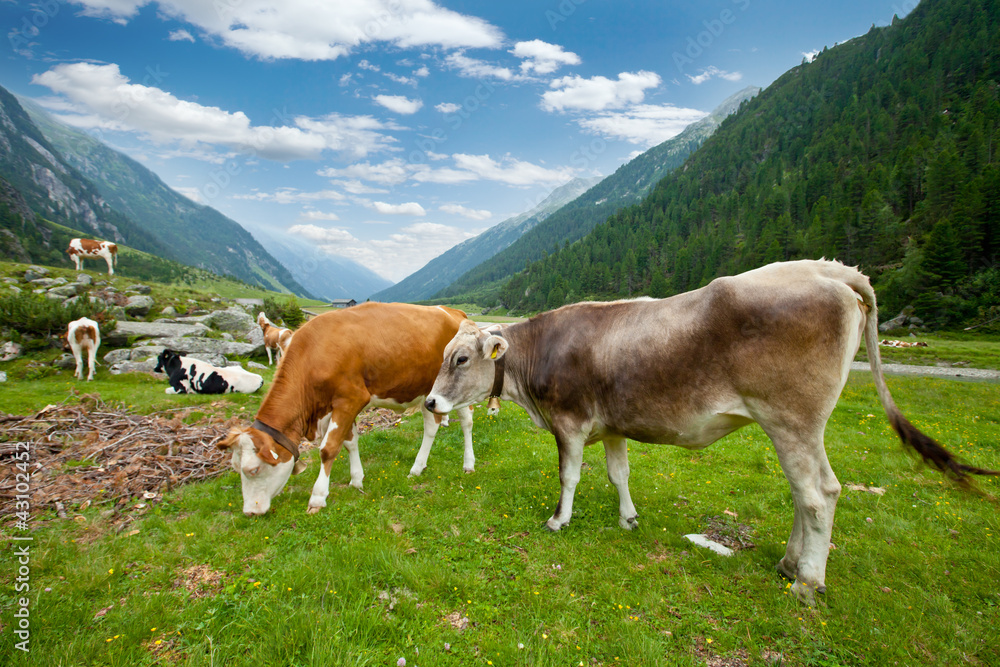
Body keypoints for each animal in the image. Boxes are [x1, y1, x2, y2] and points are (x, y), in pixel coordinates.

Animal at [216, 302, 480, 516]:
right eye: (235, 468)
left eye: (253, 470)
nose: (249, 512)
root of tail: (454, 312)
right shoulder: (341, 406)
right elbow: (350, 442)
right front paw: (356, 480)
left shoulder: (350, 398)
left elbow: (328, 449)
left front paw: (318, 497)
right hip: (426, 390)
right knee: (431, 426)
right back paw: (417, 467)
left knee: (467, 421)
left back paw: (468, 464)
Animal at [426, 260, 996, 604]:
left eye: (460, 359)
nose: (430, 402)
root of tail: (827, 269)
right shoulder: (611, 425)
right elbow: (618, 473)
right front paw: (628, 519)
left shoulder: (569, 422)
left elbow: (570, 477)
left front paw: (558, 521)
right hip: (795, 427)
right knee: (806, 492)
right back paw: (790, 564)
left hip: (793, 419)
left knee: (819, 494)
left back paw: (807, 582)